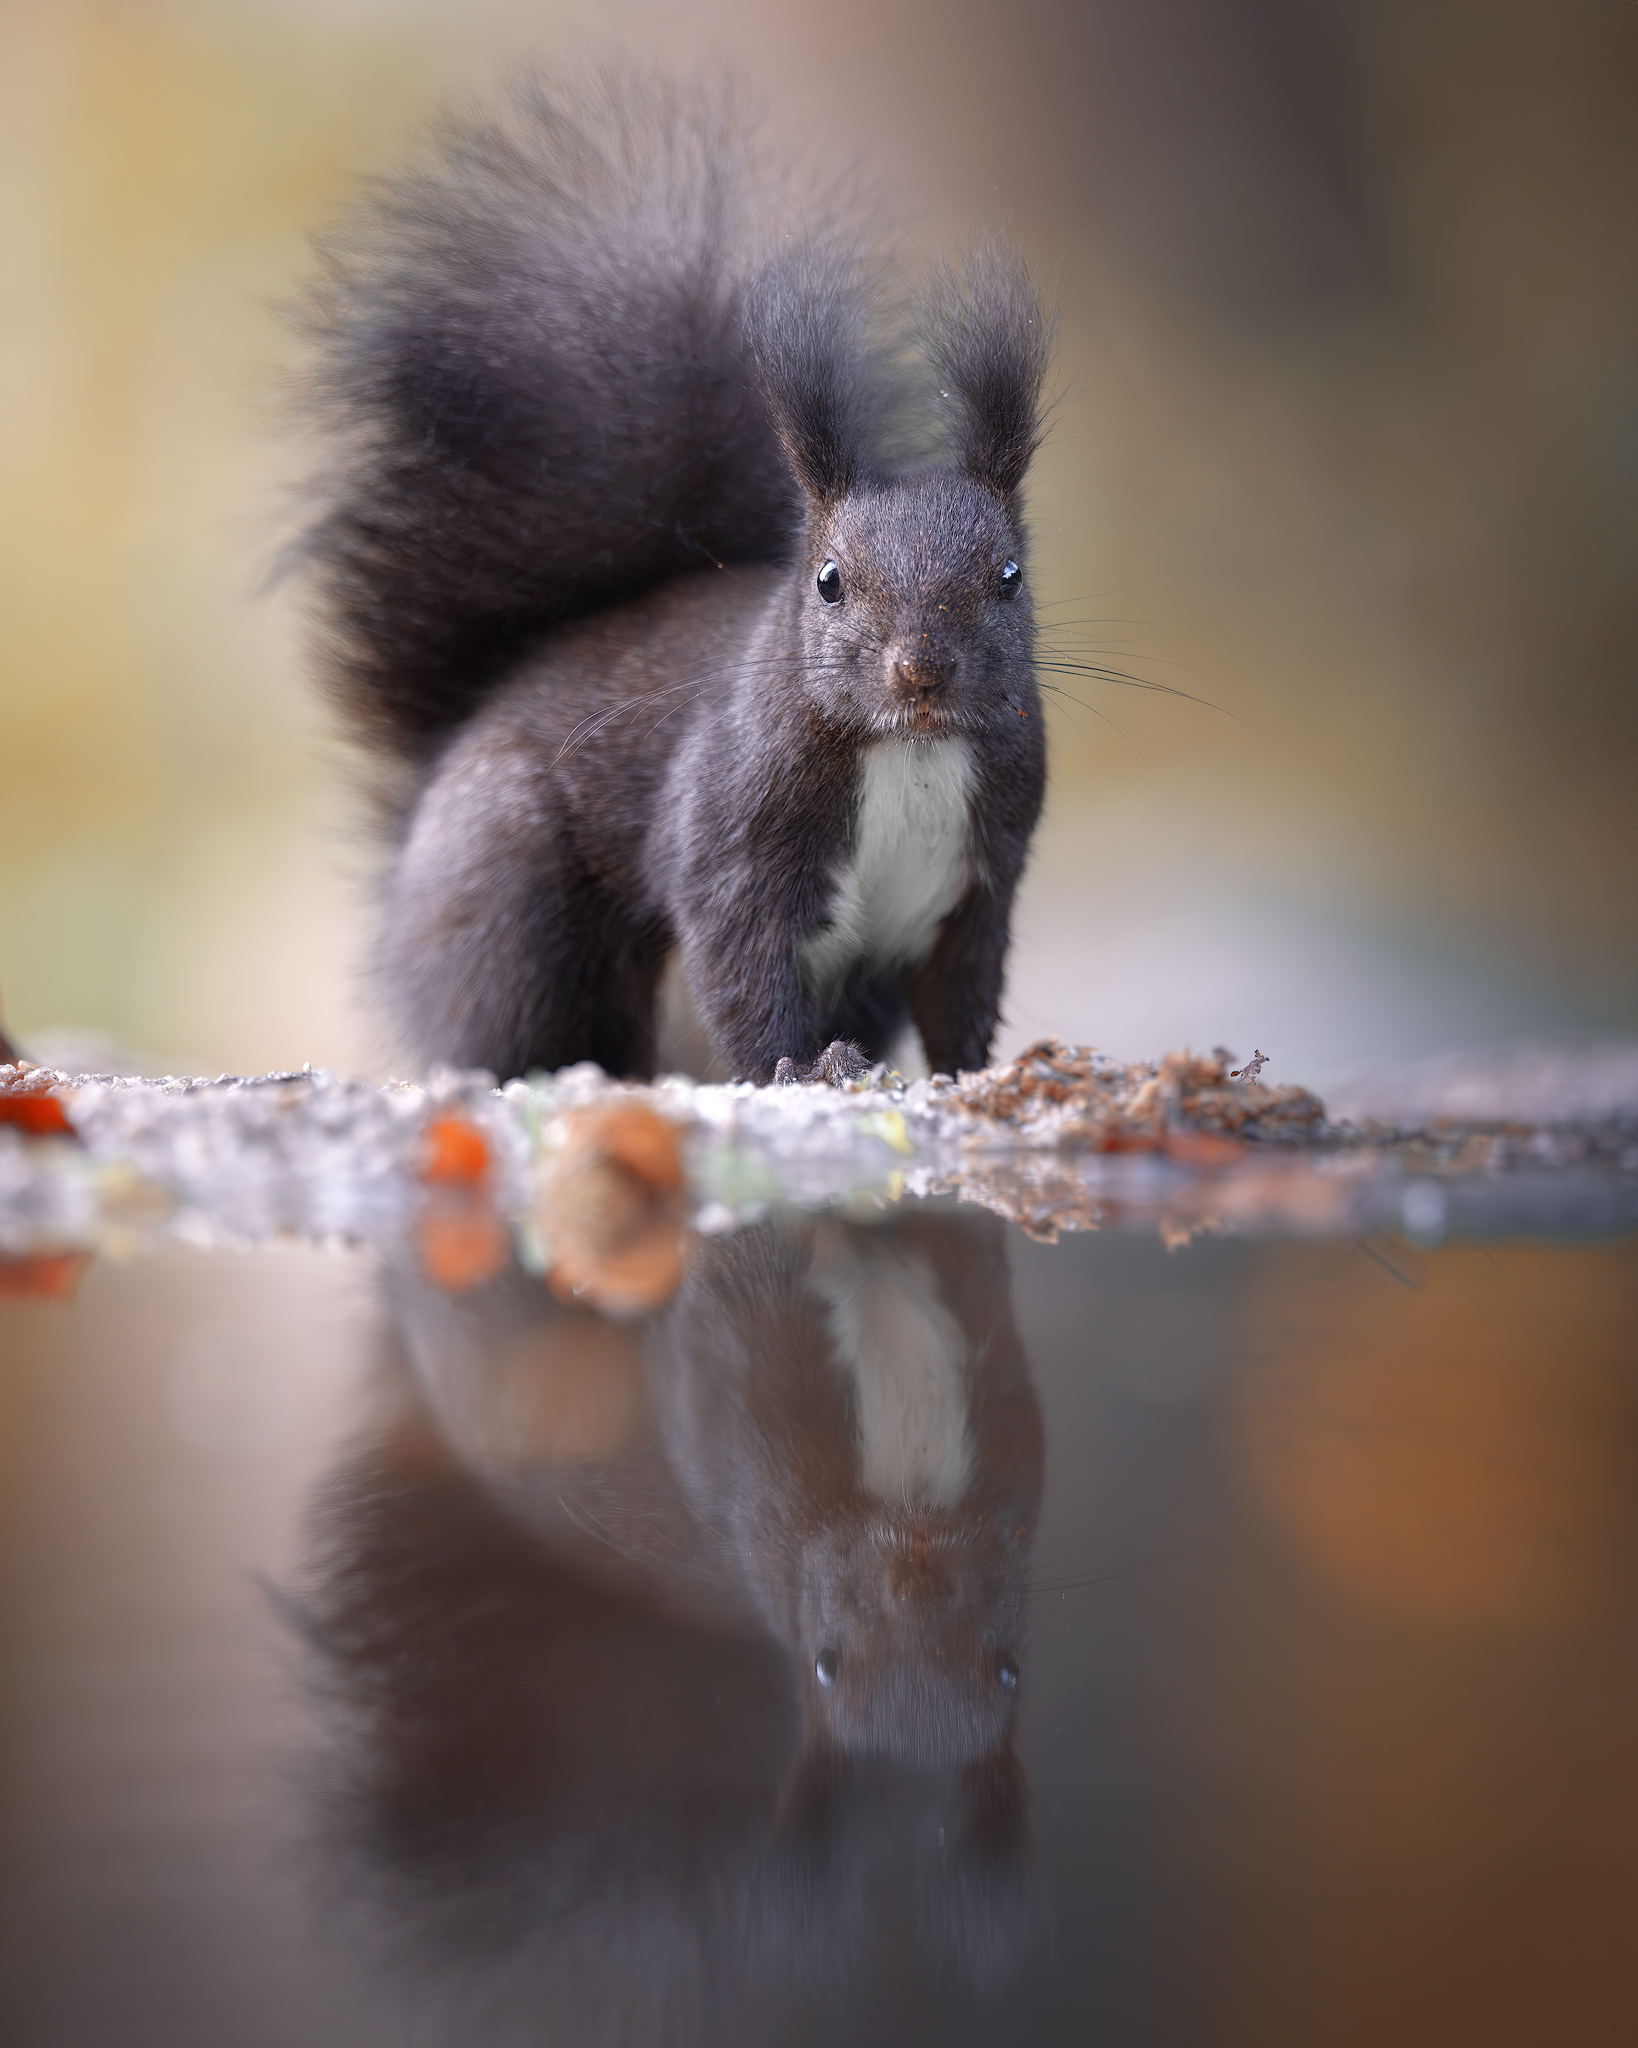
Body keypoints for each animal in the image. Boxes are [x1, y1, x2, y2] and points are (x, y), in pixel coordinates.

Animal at [298, 71, 1054, 1086]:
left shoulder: (980, 887)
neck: (911, 752)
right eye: (828, 580)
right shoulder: (730, 835)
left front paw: (980, 1075)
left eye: (1009, 575)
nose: (921, 673)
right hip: (511, 900)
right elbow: (743, 969)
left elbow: (961, 998)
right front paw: (804, 1071)